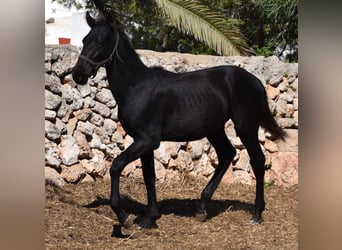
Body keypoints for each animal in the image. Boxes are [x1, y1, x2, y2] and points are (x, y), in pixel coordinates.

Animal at [71, 10, 286, 229]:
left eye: (100, 40)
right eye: (84, 40)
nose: (78, 74)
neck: (136, 87)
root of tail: (256, 81)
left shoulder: (147, 140)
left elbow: (116, 166)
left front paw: (125, 216)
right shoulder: (144, 142)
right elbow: (149, 176)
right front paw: (149, 217)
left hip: (246, 127)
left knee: (257, 161)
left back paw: (257, 214)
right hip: (214, 130)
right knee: (227, 154)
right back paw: (201, 209)